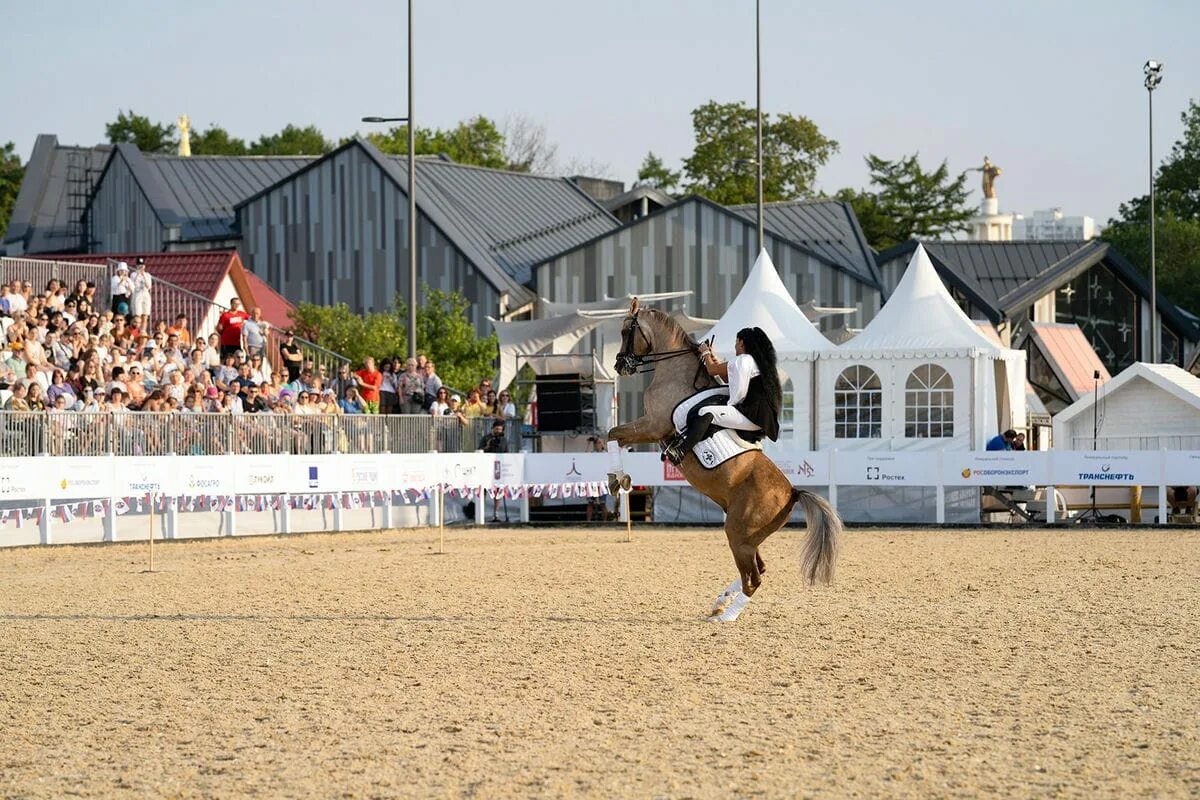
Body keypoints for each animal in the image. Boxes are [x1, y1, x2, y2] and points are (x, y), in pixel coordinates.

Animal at [604, 299, 840, 618]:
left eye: (625, 330)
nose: (619, 364)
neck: (675, 371)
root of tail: (792, 492)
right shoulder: (652, 429)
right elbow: (616, 436)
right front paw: (618, 479)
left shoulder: (653, 426)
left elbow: (612, 433)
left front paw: (617, 480)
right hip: (748, 537)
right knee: (758, 570)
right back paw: (720, 601)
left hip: (739, 534)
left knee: (754, 577)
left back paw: (726, 615)